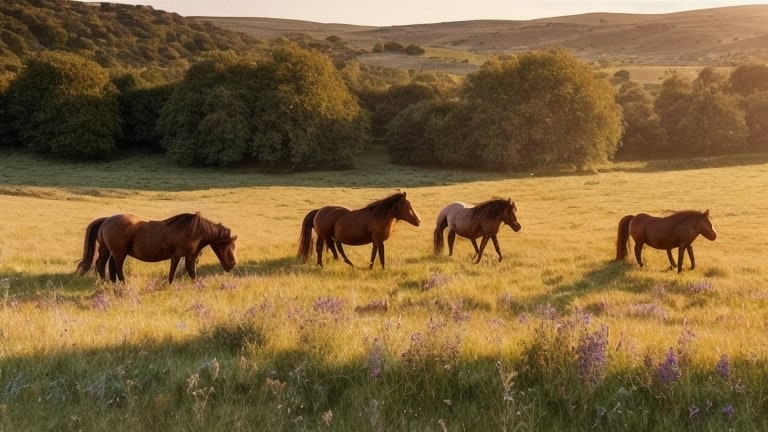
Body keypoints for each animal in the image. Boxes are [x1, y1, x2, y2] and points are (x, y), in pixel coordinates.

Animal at [77, 212, 237, 283]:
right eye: (228, 245)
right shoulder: (180, 255)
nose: (232, 264)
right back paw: (122, 283)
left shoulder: (187, 257)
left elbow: (190, 272)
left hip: (108, 250)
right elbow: (177, 273)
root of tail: (106, 220)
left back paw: (108, 283)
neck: (195, 230)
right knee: (115, 268)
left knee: (103, 265)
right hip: (119, 253)